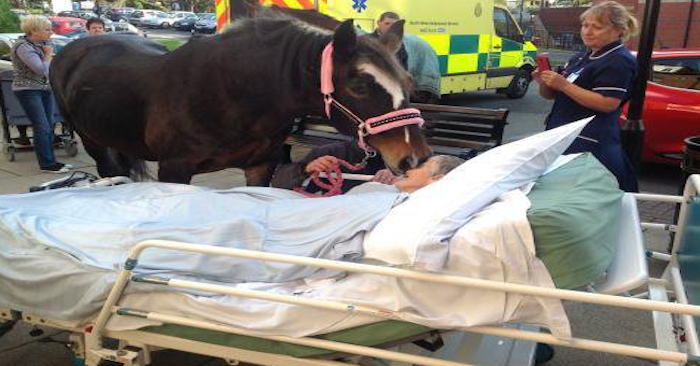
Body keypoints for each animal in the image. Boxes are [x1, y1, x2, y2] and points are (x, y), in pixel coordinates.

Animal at [50, 14, 432, 186]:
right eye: (359, 86)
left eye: (409, 84)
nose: (415, 158)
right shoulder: (174, 170)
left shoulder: (260, 166)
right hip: (93, 141)